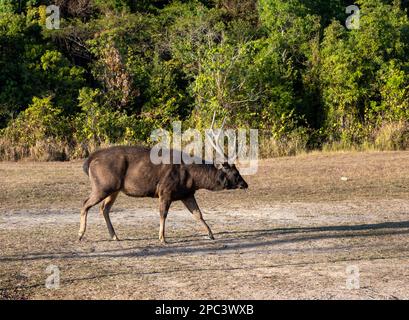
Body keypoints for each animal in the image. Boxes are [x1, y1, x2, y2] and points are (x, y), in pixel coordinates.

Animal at [78, 116, 247, 244]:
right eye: (235, 172)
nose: (245, 184)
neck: (193, 178)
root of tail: (89, 161)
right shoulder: (165, 190)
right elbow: (163, 213)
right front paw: (162, 238)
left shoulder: (187, 193)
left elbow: (198, 213)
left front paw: (211, 234)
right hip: (103, 185)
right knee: (85, 203)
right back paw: (80, 235)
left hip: (114, 189)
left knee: (104, 208)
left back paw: (114, 236)